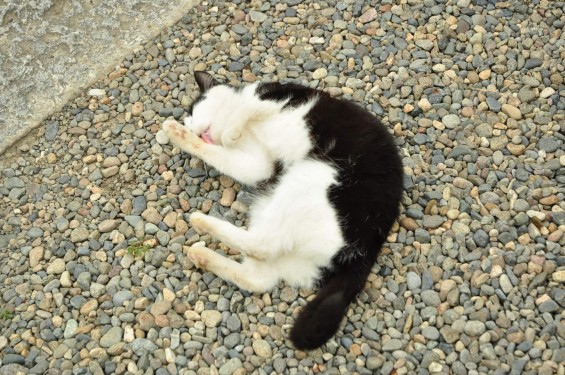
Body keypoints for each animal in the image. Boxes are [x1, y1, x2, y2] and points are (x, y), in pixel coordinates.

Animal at [161, 72, 404, 352]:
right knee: (259, 274)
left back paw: (199, 222)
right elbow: (220, 154)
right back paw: (200, 252)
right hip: (286, 213)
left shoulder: (274, 99)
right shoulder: (259, 166)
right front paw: (182, 136)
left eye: (192, 111)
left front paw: (199, 132)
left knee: (262, 248)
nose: (189, 126)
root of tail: (368, 249)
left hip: (309, 181)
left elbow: (242, 113)